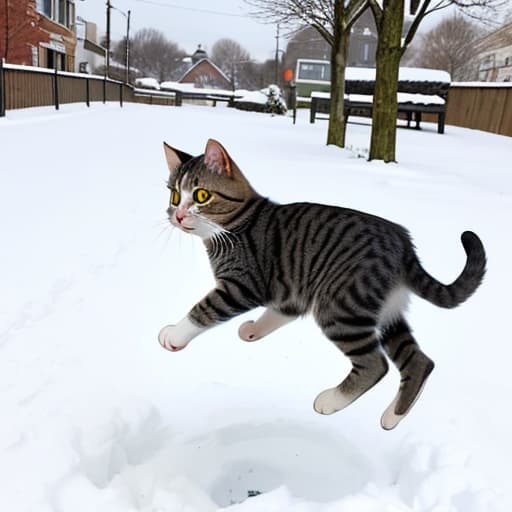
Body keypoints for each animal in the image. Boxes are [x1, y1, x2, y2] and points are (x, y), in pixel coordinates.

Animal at [158, 138, 486, 430]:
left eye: (201, 196)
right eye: (174, 197)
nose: (178, 215)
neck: (234, 228)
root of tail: (404, 245)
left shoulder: (243, 284)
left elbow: (204, 309)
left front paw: (174, 334)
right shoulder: (289, 291)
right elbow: (276, 313)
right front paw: (253, 330)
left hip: (340, 306)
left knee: (374, 364)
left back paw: (331, 400)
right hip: (386, 312)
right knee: (420, 361)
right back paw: (393, 416)